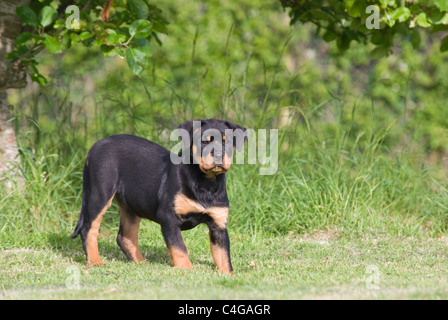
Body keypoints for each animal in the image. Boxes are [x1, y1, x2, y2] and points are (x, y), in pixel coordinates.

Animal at [72, 119, 247, 274]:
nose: (218, 155)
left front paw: (228, 275)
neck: (207, 183)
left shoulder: (219, 225)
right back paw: (95, 261)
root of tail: (96, 145)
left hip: (132, 204)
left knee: (125, 236)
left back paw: (142, 263)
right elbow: (179, 247)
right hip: (100, 193)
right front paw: (186, 270)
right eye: (204, 142)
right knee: (89, 229)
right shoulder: (168, 217)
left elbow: (223, 256)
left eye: (227, 142)